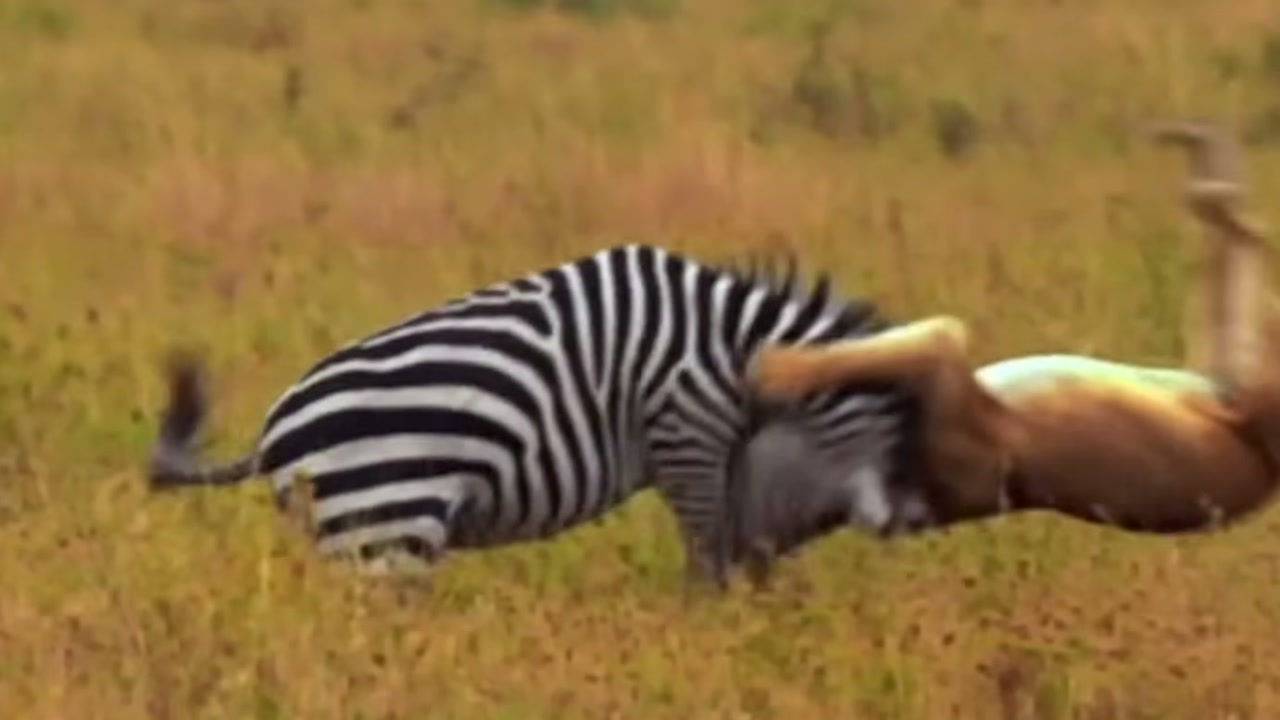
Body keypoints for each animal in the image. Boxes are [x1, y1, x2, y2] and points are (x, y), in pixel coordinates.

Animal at [148, 243, 925, 589]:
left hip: (356, 535)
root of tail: (272, 435)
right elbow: (703, 544)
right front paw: (711, 625)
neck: (739, 346)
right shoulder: (684, 428)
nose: (914, 524)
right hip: (387, 526)